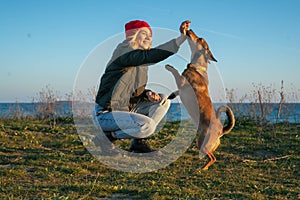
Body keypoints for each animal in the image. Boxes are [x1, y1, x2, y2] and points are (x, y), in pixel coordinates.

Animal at [165, 29, 236, 170]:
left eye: (200, 39)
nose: (190, 30)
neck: (196, 67)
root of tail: (221, 130)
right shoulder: (181, 88)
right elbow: (176, 91)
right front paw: (171, 95)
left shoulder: (181, 82)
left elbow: (175, 72)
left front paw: (169, 67)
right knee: (211, 156)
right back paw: (204, 167)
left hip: (201, 142)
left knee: (213, 158)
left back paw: (201, 168)